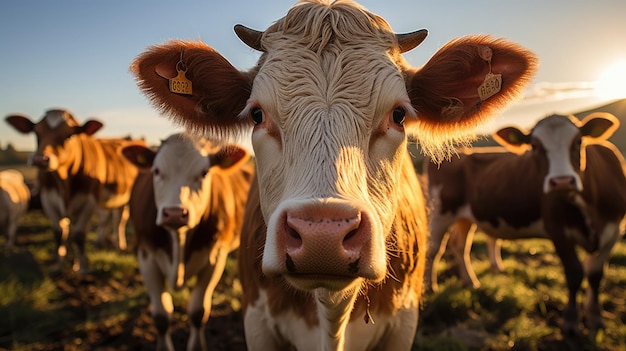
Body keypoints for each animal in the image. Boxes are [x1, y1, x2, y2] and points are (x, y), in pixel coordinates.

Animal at [4, 108, 143, 274]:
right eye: (37, 133)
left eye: (69, 135)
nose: (39, 159)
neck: (64, 182)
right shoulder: (48, 200)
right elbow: (59, 233)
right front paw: (58, 264)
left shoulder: (89, 202)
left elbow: (79, 234)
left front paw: (82, 267)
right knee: (108, 218)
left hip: (127, 197)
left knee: (119, 220)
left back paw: (119, 245)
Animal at [120, 133, 252, 350]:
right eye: (156, 171)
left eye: (204, 173)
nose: (174, 213)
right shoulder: (146, 257)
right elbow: (161, 317)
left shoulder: (215, 259)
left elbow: (198, 312)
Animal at [424, 113, 624, 338]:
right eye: (534, 146)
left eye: (579, 141)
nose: (562, 181)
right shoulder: (558, 232)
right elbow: (574, 273)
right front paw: (570, 322)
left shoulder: (612, 232)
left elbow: (595, 276)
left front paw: (595, 318)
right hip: (439, 212)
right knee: (433, 249)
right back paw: (430, 286)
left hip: (465, 217)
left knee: (459, 246)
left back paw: (470, 282)